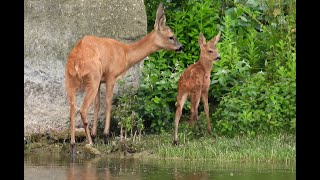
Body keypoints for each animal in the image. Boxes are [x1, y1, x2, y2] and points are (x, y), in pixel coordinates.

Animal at [64, 2, 182, 155]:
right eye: (171, 37)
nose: (181, 47)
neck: (126, 54)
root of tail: (76, 61)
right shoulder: (111, 76)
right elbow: (108, 103)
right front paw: (105, 136)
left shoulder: (101, 80)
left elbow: (97, 105)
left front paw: (96, 135)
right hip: (92, 77)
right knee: (82, 109)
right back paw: (89, 142)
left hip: (71, 80)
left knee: (72, 108)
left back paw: (73, 144)